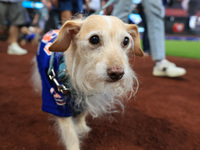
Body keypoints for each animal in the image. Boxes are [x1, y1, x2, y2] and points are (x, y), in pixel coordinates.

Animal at [35, 15, 143, 150]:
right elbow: (70, 134)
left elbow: (82, 114)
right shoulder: (57, 104)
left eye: (126, 41)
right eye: (94, 39)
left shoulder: (88, 97)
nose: (117, 73)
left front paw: (82, 128)